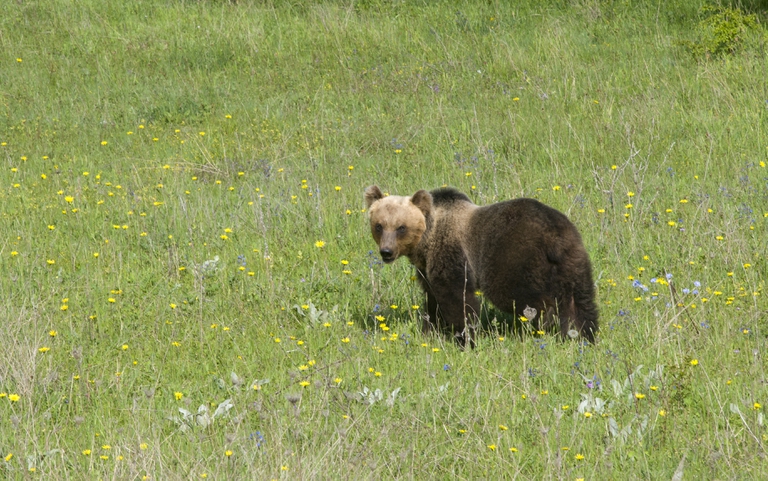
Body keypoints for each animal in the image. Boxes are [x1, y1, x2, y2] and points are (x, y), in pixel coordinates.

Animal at [364, 185, 598, 347]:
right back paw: (583, 334)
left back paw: (547, 323)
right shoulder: (426, 269)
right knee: (580, 301)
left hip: (512, 258)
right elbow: (432, 300)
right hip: (573, 258)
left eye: (401, 227)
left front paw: (465, 337)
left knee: (522, 297)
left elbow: (457, 298)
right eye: (379, 225)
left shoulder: (451, 254)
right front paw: (430, 330)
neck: (426, 241)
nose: (386, 252)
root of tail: (554, 236)